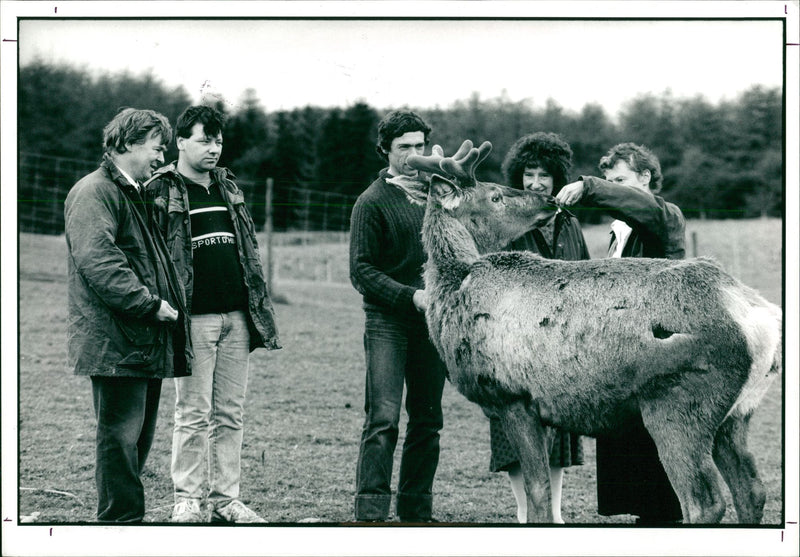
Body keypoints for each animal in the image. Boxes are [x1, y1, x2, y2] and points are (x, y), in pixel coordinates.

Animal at [388, 139, 780, 520]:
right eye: (495, 197)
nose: (548, 199)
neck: (455, 292)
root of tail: (760, 319)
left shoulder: (512, 396)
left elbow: (538, 493)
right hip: (737, 413)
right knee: (751, 490)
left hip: (680, 401)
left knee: (704, 501)